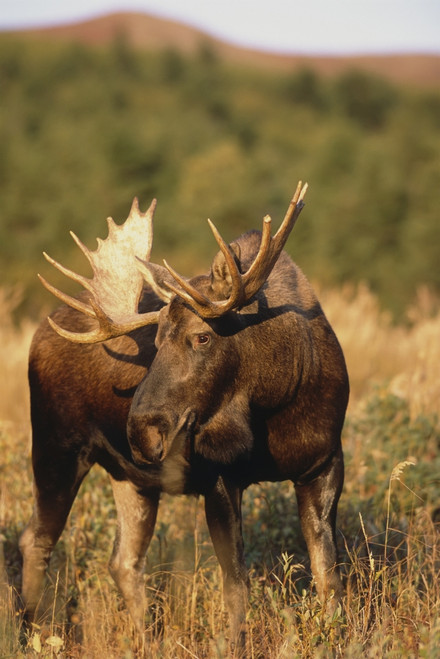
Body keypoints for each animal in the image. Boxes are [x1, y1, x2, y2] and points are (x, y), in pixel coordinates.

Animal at [20, 182, 349, 651]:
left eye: (202, 336)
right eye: (156, 340)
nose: (141, 429)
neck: (280, 399)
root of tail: (39, 333)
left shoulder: (324, 464)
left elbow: (327, 577)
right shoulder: (219, 477)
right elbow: (236, 586)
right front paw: (234, 646)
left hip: (133, 479)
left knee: (123, 560)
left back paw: (146, 641)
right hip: (55, 447)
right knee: (36, 539)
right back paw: (35, 635)